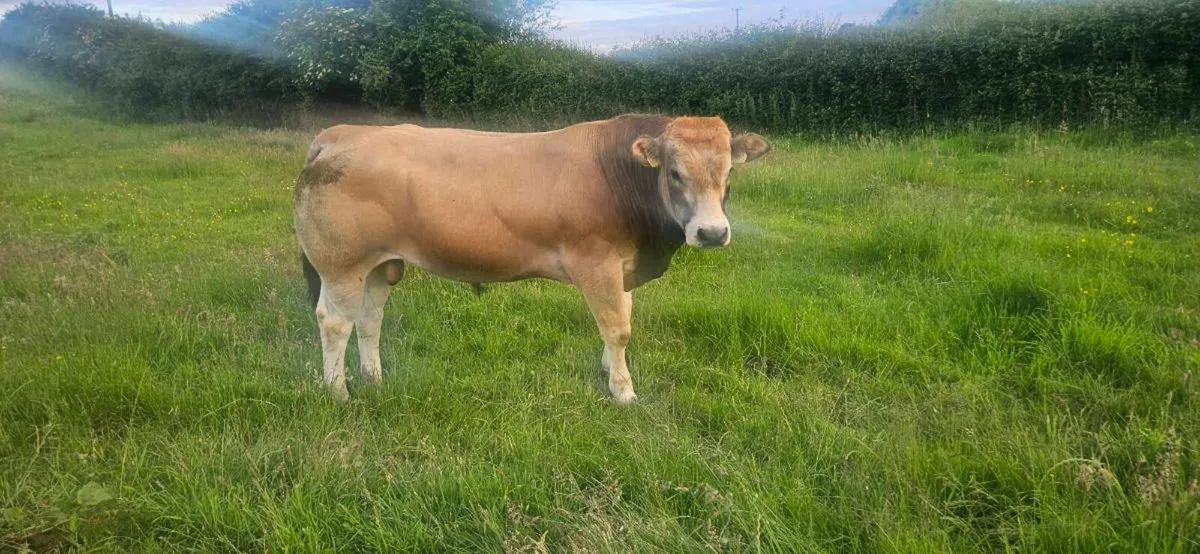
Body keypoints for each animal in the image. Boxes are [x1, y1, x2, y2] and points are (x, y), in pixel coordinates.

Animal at [293, 114, 770, 403]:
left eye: (729, 171)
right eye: (674, 173)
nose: (712, 233)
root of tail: (343, 132)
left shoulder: (621, 269)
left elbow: (620, 319)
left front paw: (607, 369)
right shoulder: (596, 263)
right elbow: (618, 329)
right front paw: (623, 391)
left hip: (378, 266)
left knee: (369, 320)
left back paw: (374, 379)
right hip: (341, 266)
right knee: (334, 322)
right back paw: (339, 392)